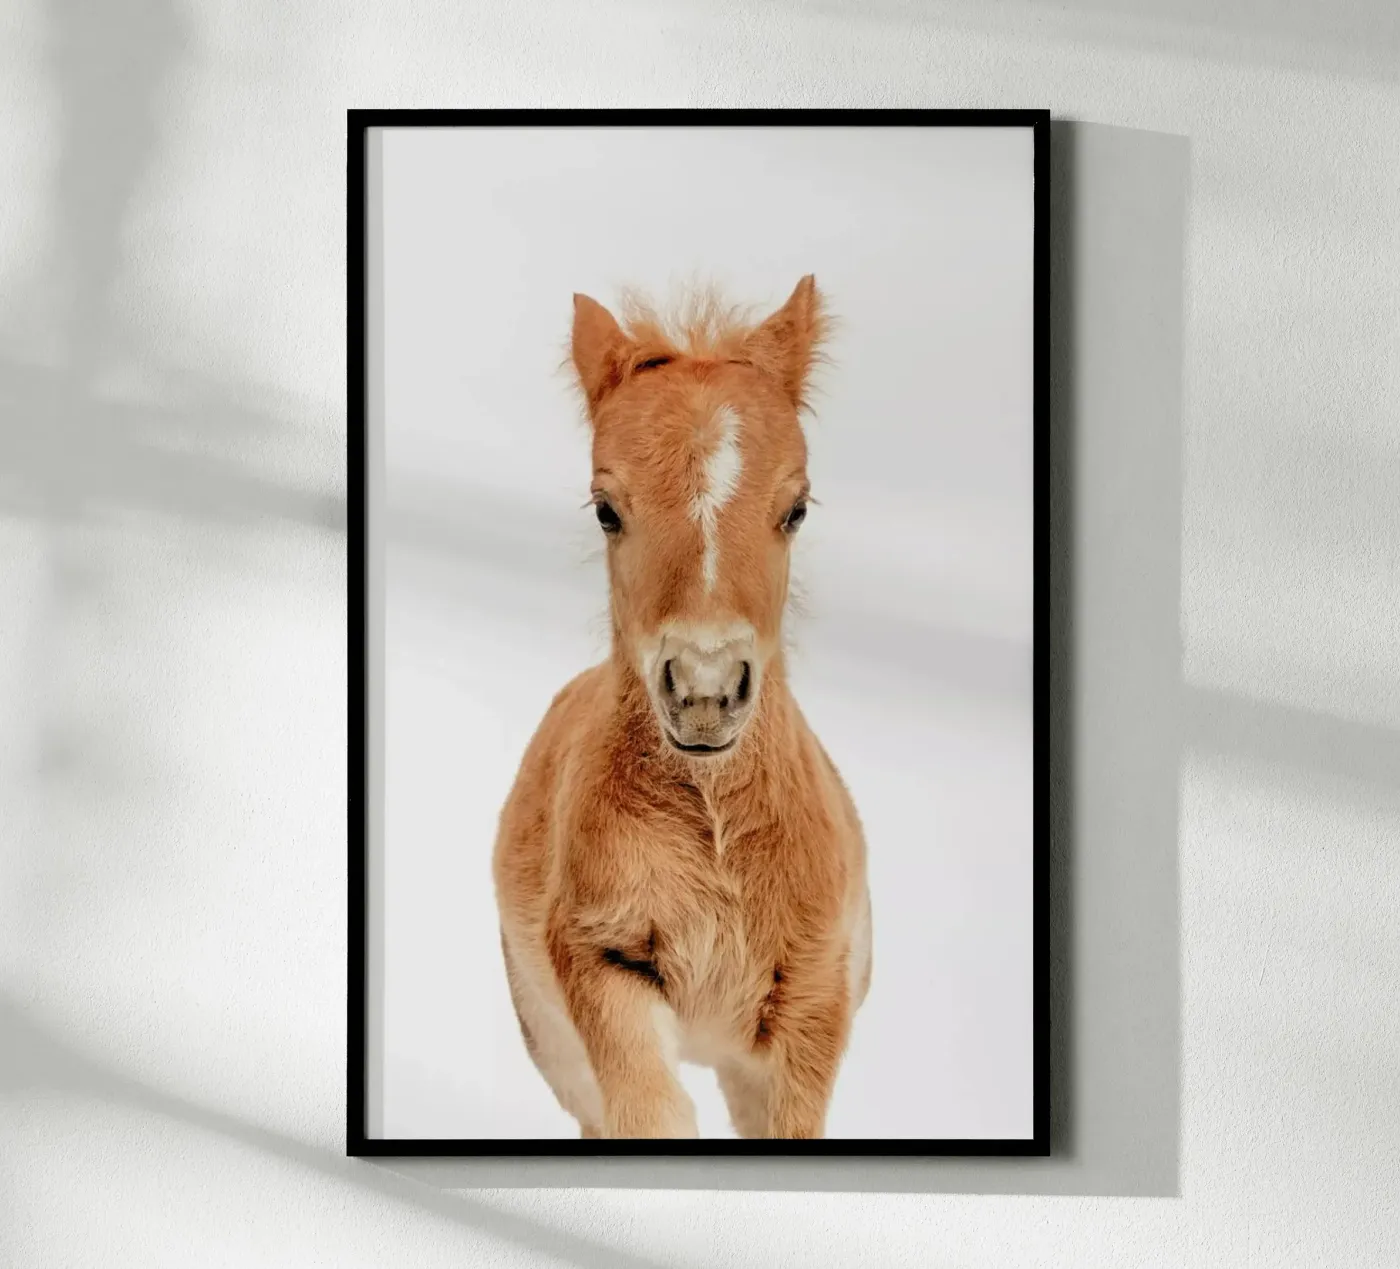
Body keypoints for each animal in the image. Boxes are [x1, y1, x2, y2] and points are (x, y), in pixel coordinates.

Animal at [492, 275, 871, 1139]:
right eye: (606, 508)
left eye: (797, 507)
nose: (703, 690)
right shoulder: (601, 961)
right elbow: (651, 1116)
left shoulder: (812, 1003)